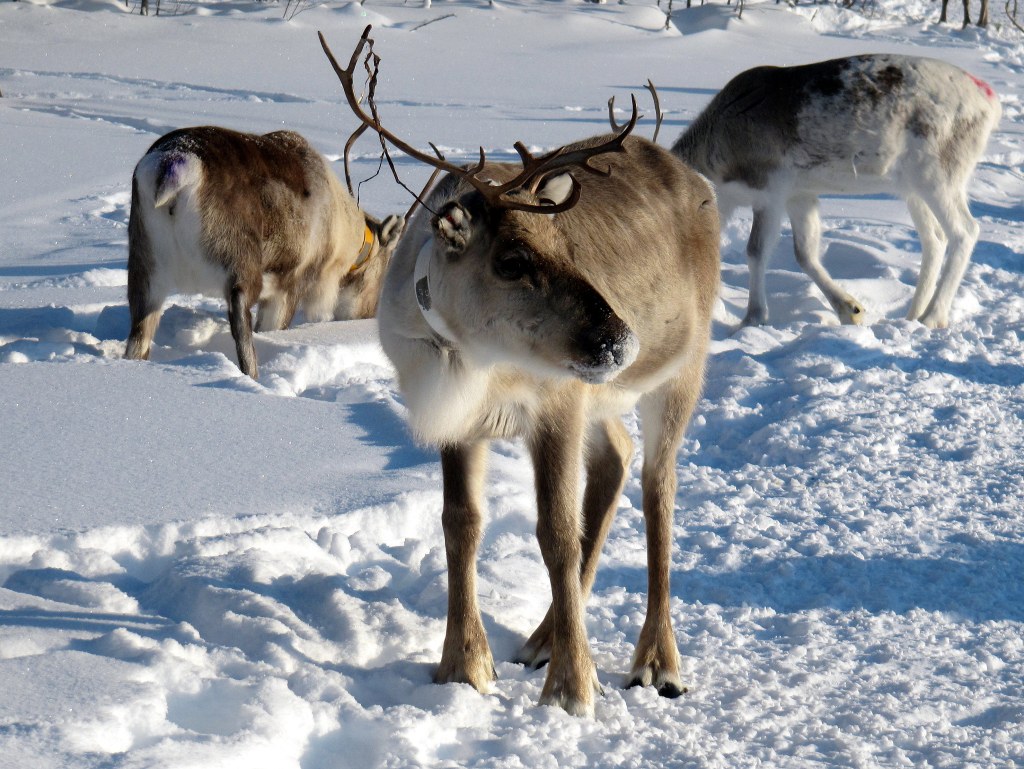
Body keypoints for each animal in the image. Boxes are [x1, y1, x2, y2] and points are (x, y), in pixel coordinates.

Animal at [124, 126, 404, 379]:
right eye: (384, 273)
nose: (367, 315)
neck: (343, 236)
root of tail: (174, 165)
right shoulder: (291, 282)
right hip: (239, 260)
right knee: (240, 315)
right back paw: (252, 374)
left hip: (145, 266)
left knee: (139, 331)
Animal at [320, 27, 720, 717]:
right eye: (510, 261)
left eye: (568, 247)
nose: (621, 340)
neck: (476, 361)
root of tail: (694, 177)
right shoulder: (459, 419)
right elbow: (461, 525)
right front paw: (463, 666)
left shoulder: (556, 405)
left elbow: (555, 533)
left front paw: (572, 688)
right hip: (601, 398)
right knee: (616, 461)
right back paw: (540, 638)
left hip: (678, 374)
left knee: (658, 487)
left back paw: (657, 662)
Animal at [670, 53, 1001, 329]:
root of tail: (990, 100)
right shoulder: (800, 195)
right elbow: (805, 253)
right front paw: (851, 309)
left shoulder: (769, 191)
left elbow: (756, 251)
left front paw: (752, 319)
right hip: (912, 190)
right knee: (934, 238)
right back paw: (912, 314)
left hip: (939, 176)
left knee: (965, 231)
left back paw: (933, 318)